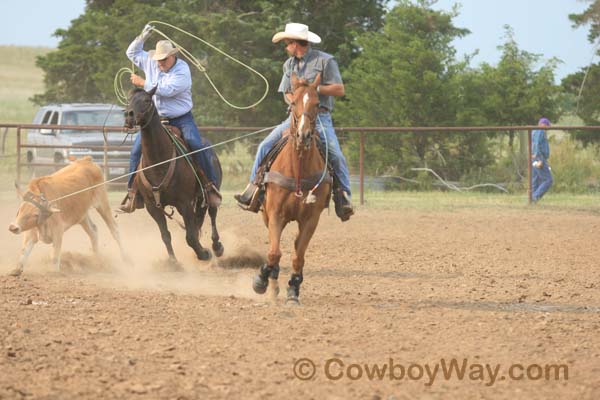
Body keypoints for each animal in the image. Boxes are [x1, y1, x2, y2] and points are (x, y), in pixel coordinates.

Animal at [125, 87, 224, 266]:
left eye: (147, 100)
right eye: (128, 100)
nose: (129, 116)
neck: (159, 162)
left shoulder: (184, 203)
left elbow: (190, 236)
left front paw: (203, 254)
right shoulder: (152, 206)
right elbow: (165, 235)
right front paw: (173, 262)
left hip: (210, 191)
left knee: (212, 212)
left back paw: (216, 246)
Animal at [251, 73, 330, 304]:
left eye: (317, 103)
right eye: (293, 102)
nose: (303, 135)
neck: (298, 171)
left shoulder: (311, 219)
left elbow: (298, 256)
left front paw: (293, 290)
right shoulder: (276, 214)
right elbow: (274, 253)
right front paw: (261, 281)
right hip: (267, 214)